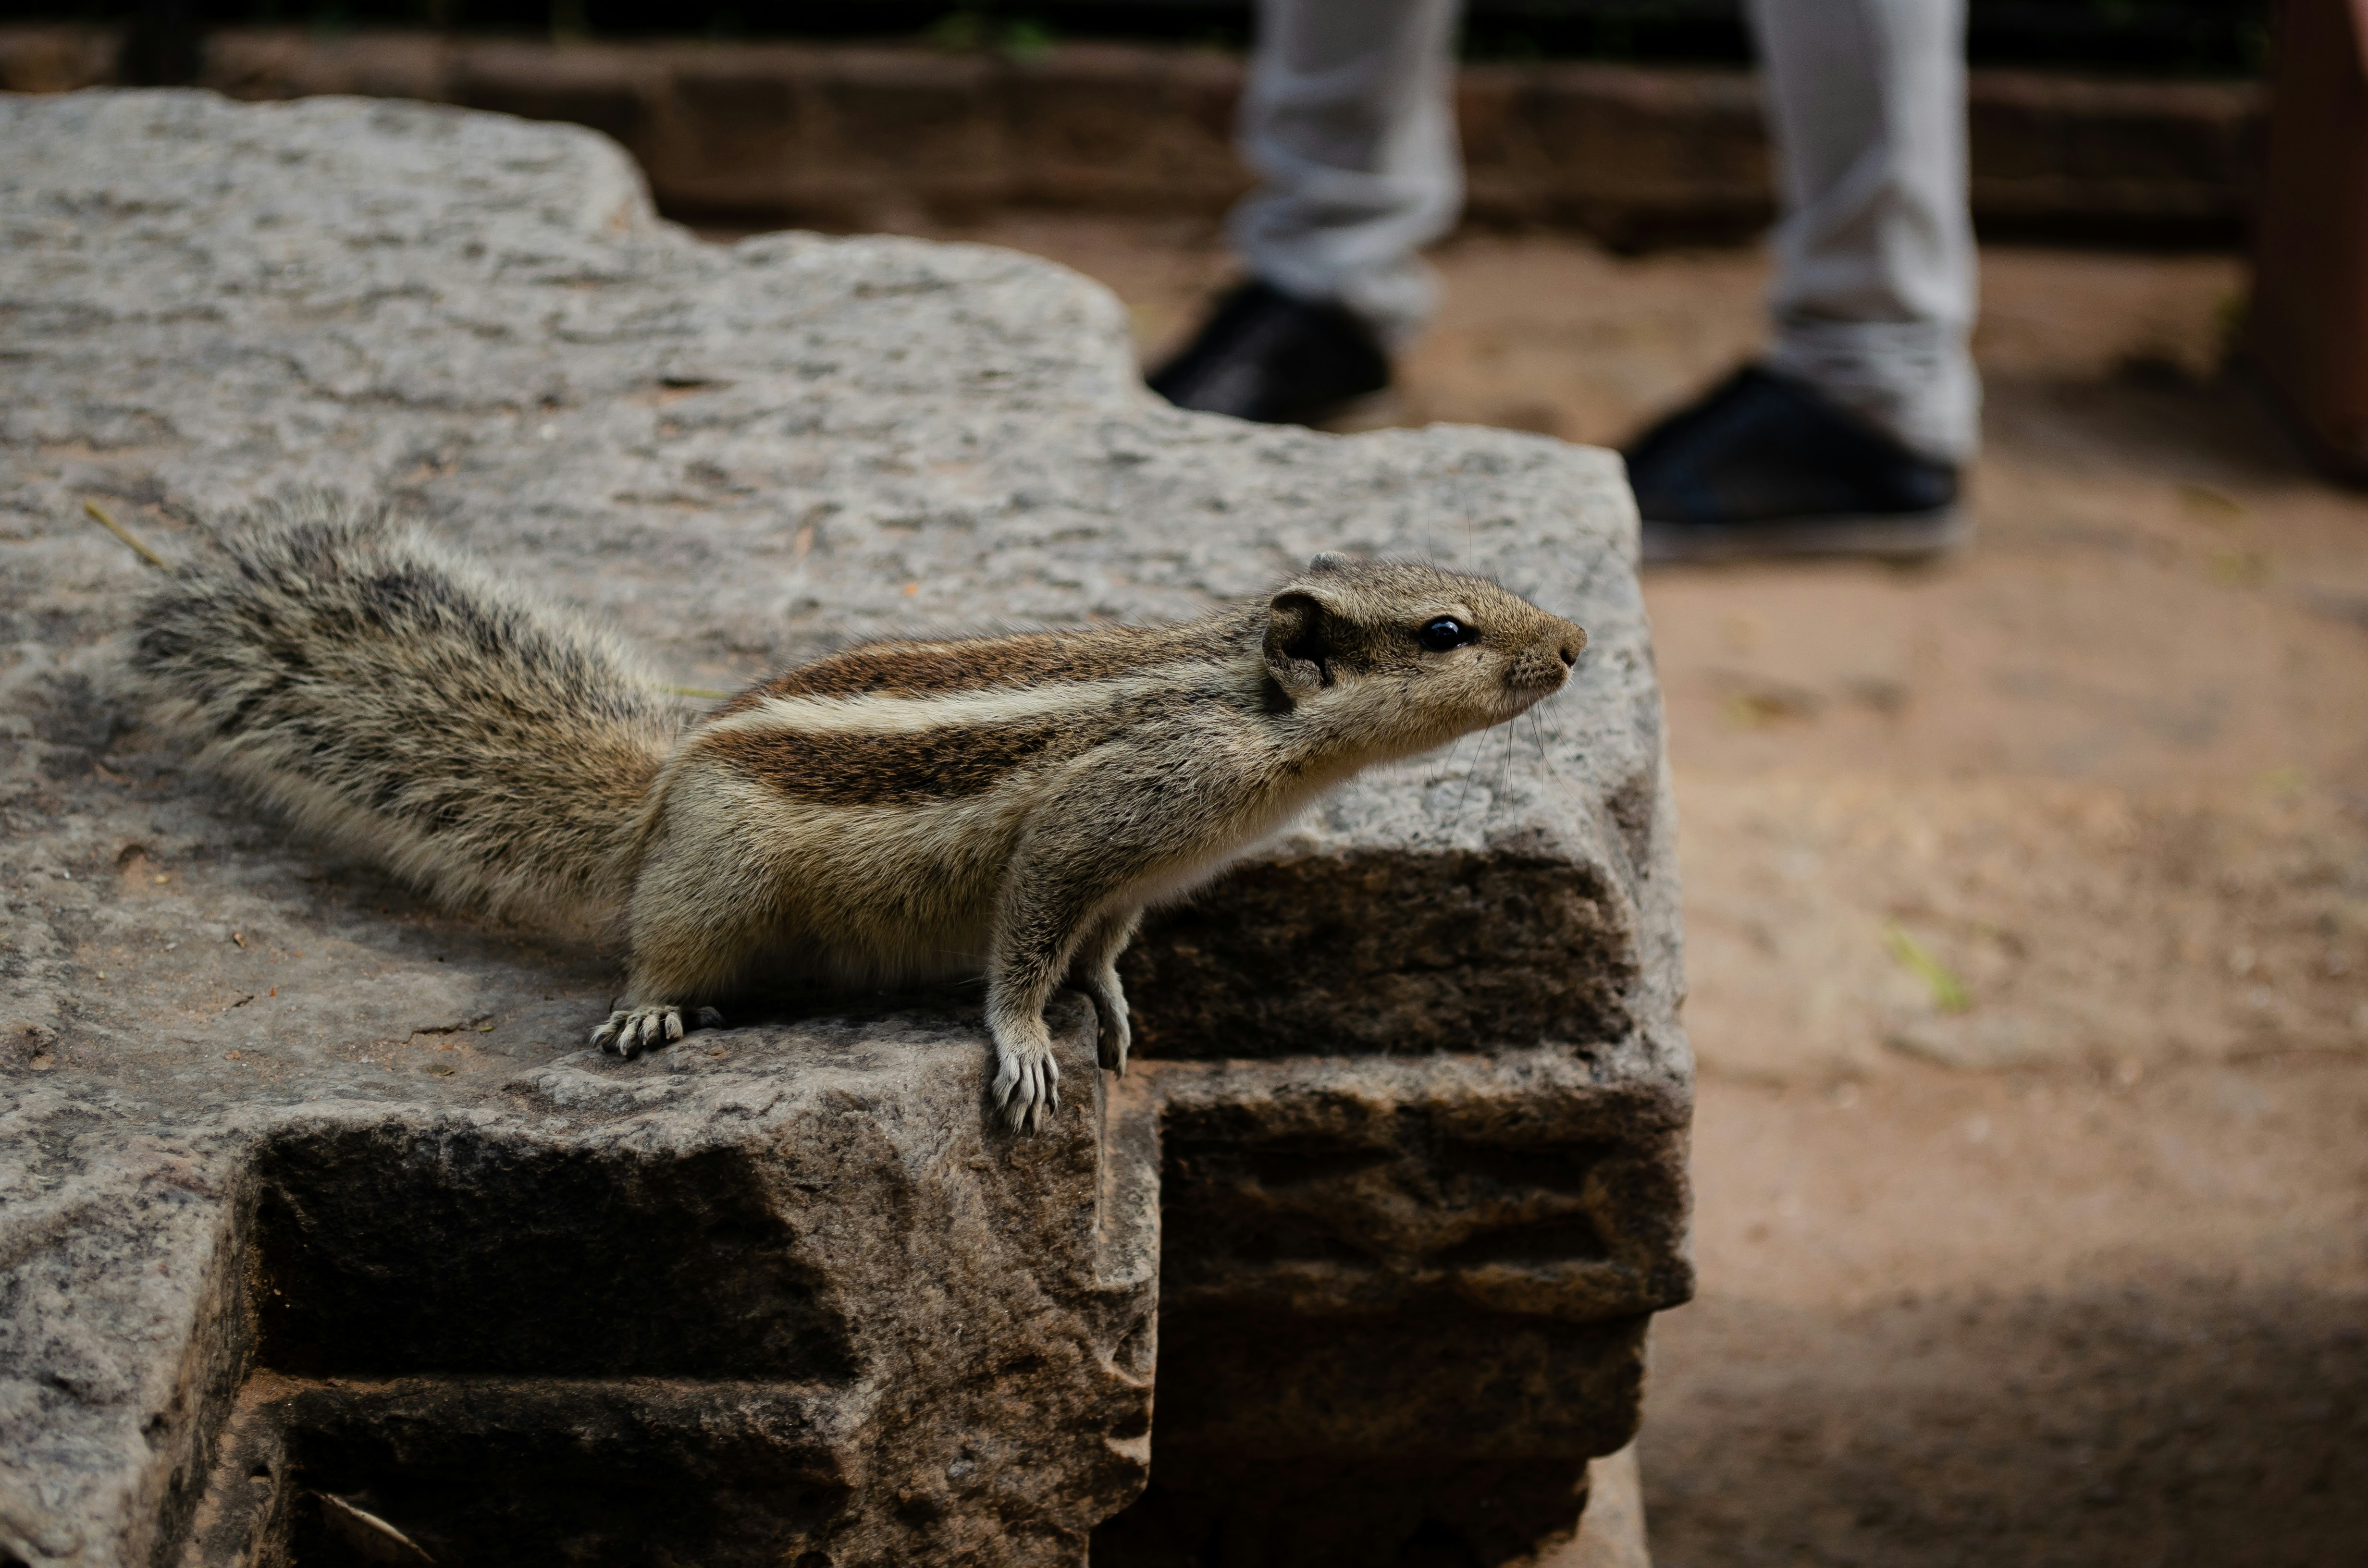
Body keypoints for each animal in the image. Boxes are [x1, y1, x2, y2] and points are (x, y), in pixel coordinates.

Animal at [129, 495, 1587, 1130]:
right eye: (1448, 631)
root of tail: (658, 792)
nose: (1577, 642)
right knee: (655, 950)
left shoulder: (1136, 876)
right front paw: (1027, 1041)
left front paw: (1112, 1009)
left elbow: (1102, 948)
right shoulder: (1094, 822)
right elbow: (1025, 939)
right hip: (714, 885)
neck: (1250, 716)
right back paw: (650, 1011)